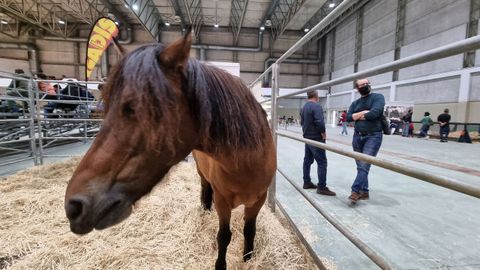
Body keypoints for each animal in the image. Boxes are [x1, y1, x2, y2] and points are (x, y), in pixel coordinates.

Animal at [63, 32, 276, 268]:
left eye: (142, 108)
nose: (73, 206)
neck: (245, 164)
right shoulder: (222, 202)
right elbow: (224, 236)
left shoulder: (258, 201)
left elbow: (249, 231)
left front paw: (248, 258)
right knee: (205, 189)